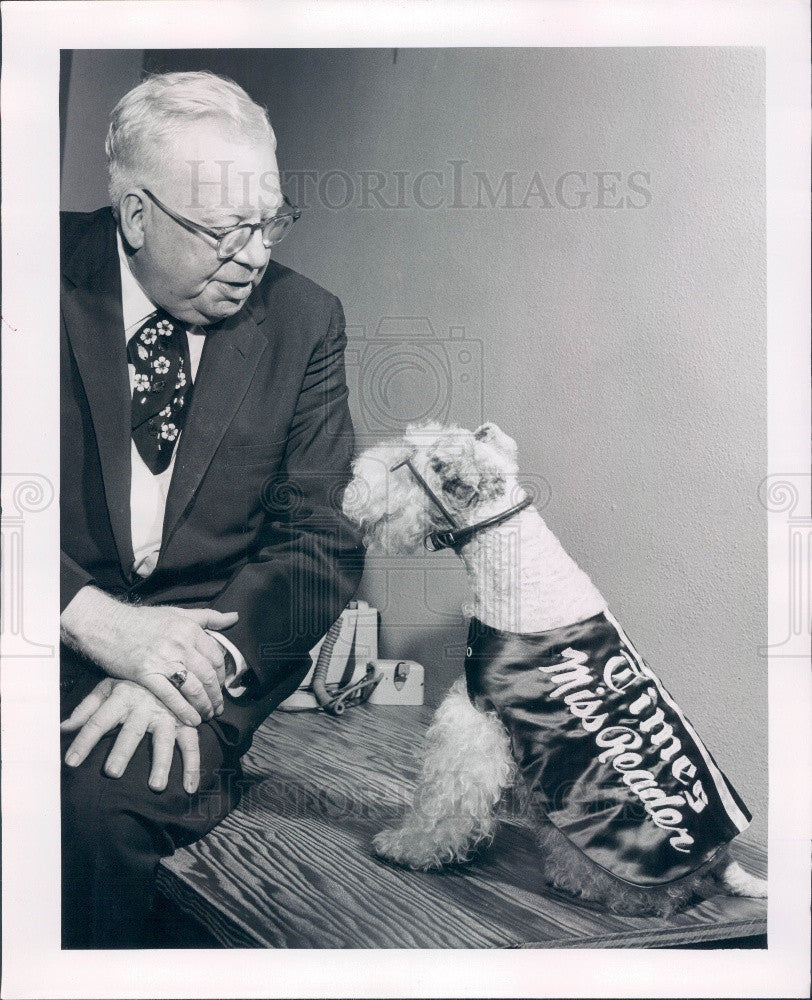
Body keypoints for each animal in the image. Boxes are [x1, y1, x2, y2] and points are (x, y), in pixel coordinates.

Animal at [342, 420, 768, 916]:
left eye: (402, 464)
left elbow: (444, 799)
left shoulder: (475, 717)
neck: (523, 573)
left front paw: (408, 847)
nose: (351, 483)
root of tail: (719, 858)